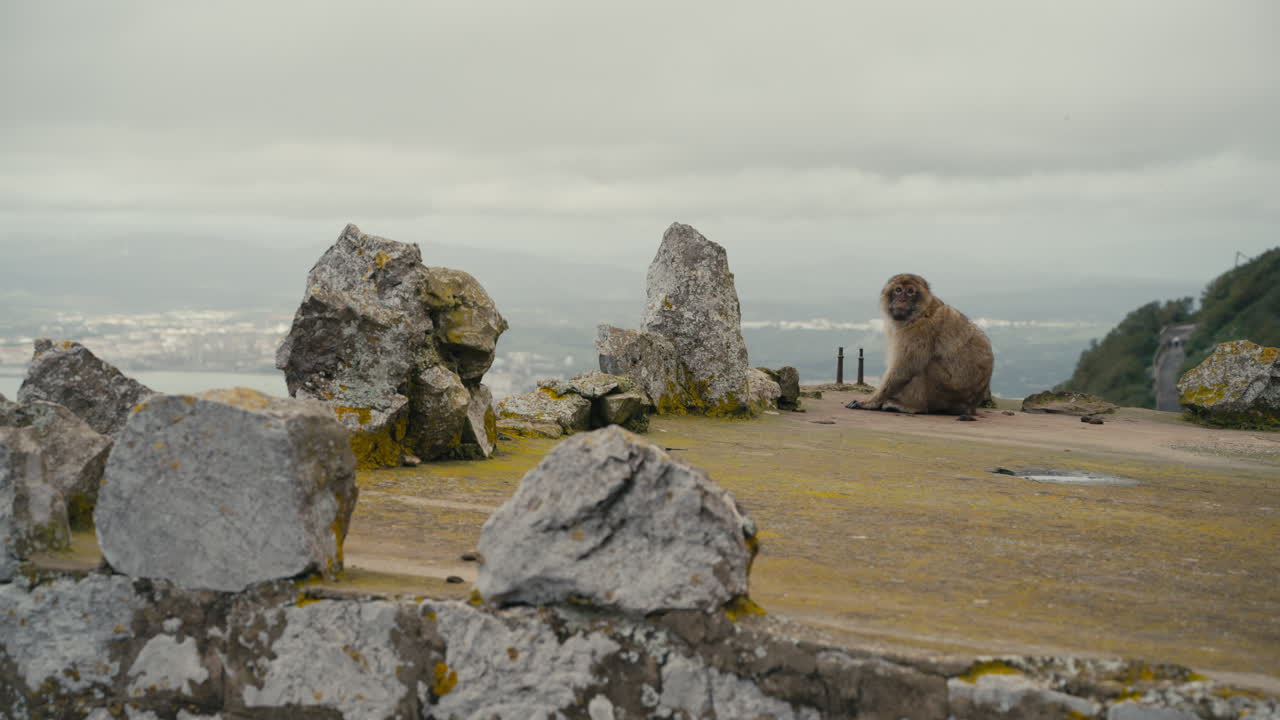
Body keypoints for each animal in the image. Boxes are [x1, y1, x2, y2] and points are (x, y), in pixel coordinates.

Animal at [846, 273, 993, 416]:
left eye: (910, 291)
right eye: (898, 290)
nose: (902, 299)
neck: (920, 313)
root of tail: (971, 406)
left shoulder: (920, 330)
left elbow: (904, 369)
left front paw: (871, 402)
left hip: (947, 394)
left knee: (923, 367)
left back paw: (914, 407)